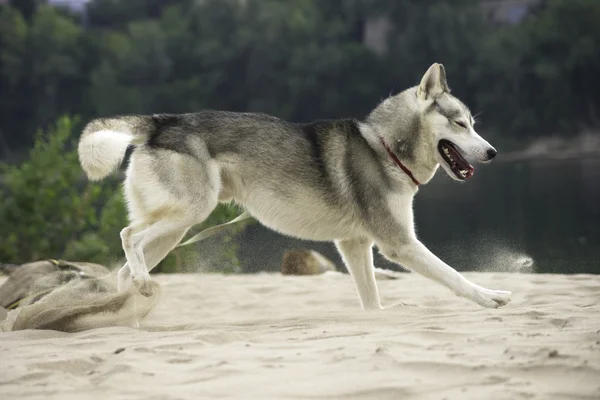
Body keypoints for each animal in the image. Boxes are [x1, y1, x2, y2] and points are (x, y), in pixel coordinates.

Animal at [78, 63, 510, 310]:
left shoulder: (355, 247)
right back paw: (138, 288)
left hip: (173, 232)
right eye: (460, 124)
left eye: (472, 123)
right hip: (187, 214)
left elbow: (372, 304)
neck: (384, 146)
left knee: (124, 271)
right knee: (128, 236)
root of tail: (161, 121)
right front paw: (490, 296)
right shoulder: (399, 245)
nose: (493, 152)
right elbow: (455, 276)